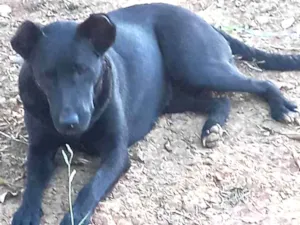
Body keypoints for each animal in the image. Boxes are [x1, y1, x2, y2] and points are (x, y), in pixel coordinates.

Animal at [9, 2, 300, 224]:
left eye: (83, 70)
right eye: (46, 75)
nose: (70, 123)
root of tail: (202, 20)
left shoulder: (116, 154)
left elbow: (90, 188)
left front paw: (74, 216)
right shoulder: (40, 149)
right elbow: (32, 182)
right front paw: (26, 212)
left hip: (198, 66)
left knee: (260, 83)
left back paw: (281, 107)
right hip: (175, 96)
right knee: (221, 102)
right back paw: (212, 128)